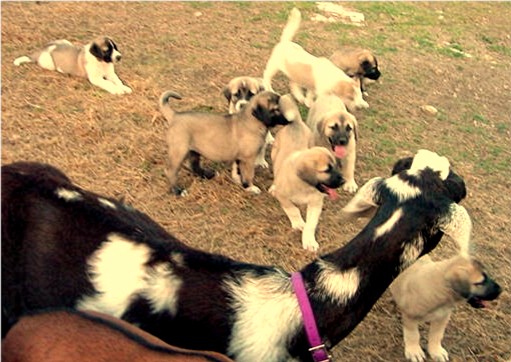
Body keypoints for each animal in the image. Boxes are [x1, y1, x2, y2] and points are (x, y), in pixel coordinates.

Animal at [160, 90, 288, 198]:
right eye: (276, 109)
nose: (289, 120)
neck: (250, 121)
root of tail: (174, 115)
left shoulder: (239, 158)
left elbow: (238, 171)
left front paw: (240, 182)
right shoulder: (248, 159)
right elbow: (248, 175)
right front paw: (250, 187)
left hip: (193, 150)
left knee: (193, 165)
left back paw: (208, 175)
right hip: (179, 152)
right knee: (171, 172)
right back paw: (178, 191)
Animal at [270, 94, 346, 250]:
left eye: (336, 166)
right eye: (327, 170)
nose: (343, 181)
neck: (304, 186)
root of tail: (295, 122)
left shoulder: (316, 203)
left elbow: (311, 224)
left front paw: (309, 241)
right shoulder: (283, 197)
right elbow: (292, 210)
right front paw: (298, 223)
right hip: (274, 155)